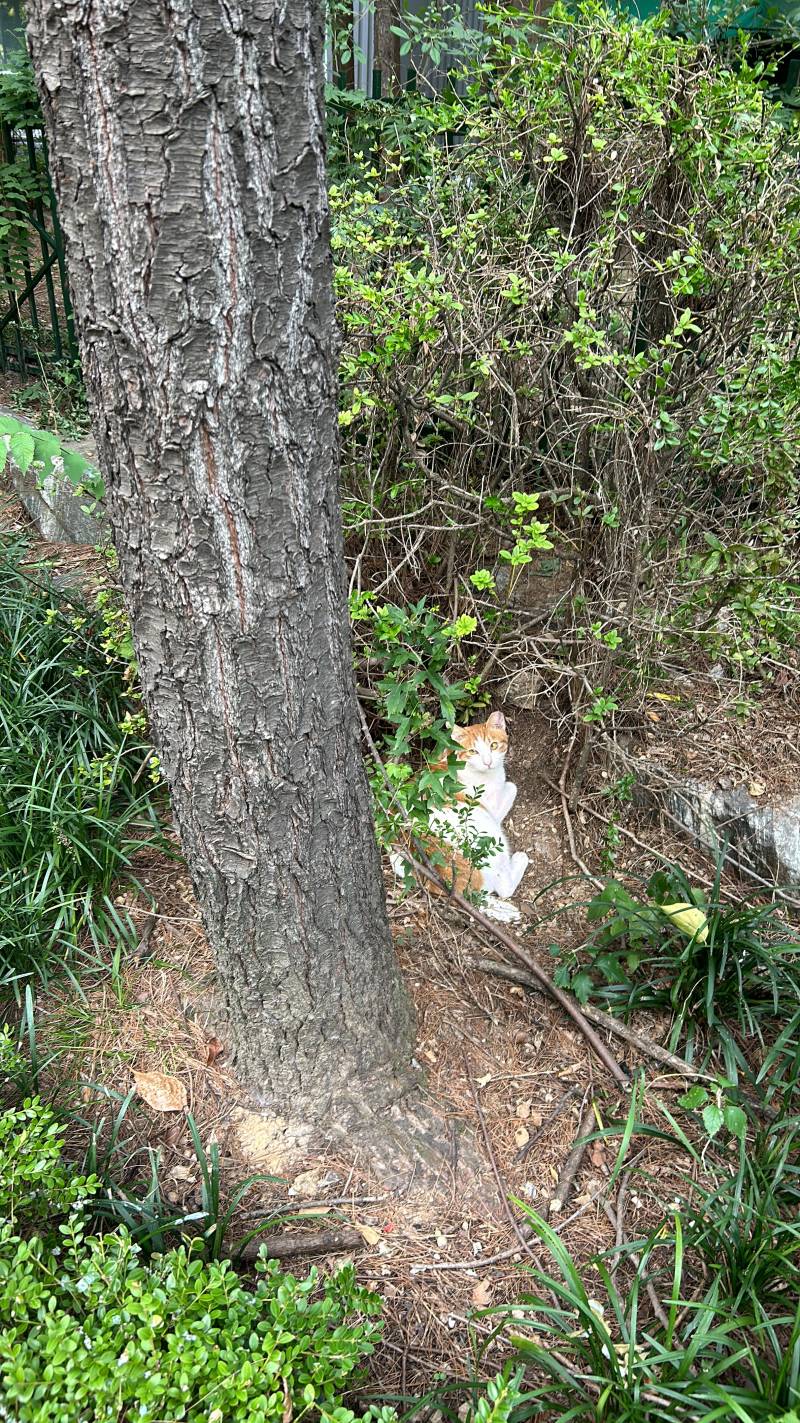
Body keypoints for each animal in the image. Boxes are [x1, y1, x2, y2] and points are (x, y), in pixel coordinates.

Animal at [387, 708, 526, 922]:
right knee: (504, 889)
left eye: (493, 745)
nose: (488, 763)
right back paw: (520, 859)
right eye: (473, 751)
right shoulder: (492, 808)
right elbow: (512, 786)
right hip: (487, 829)